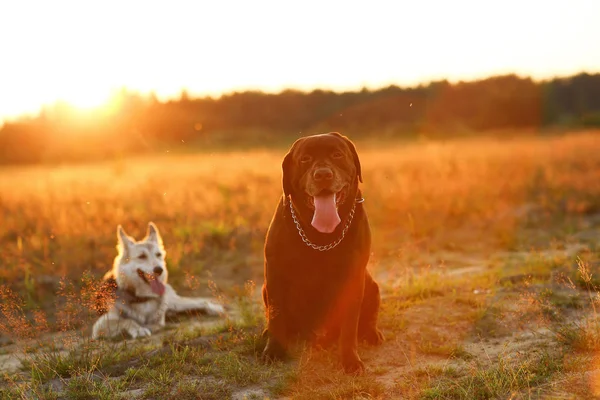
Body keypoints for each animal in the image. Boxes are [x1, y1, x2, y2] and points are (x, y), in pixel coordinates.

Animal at [91, 223, 225, 340]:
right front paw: (139, 329)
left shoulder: (158, 318)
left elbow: (155, 322)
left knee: (200, 302)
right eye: (142, 256)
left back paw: (214, 308)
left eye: (158, 255)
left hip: (176, 304)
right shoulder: (100, 325)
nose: (159, 270)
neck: (142, 297)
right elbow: (127, 320)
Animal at [260, 133, 382, 374]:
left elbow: (349, 324)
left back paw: (371, 333)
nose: (323, 174)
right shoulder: (275, 272)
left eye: (337, 154)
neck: (320, 238)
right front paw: (274, 350)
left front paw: (350, 360)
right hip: (265, 289)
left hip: (371, 284)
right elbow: (276, 315)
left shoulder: (353, 276)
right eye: (305, 159)